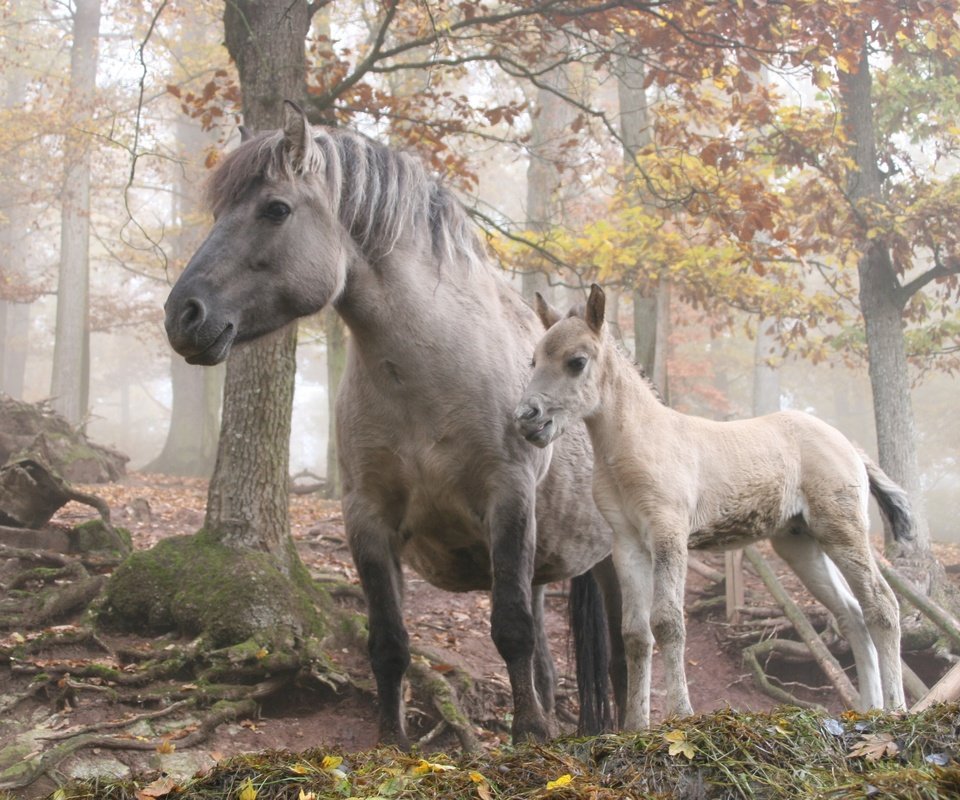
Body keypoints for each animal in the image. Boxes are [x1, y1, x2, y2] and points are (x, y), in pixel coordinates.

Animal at [166, 104, 624, 744]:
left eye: (276, 209)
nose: (182, 316)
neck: (428, 378)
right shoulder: (368, 518)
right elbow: (389, 643)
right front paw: (393, 741)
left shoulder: (508, 499)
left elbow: (510, 628)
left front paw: (530, 737)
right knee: (548, 659)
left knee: (625, 656)